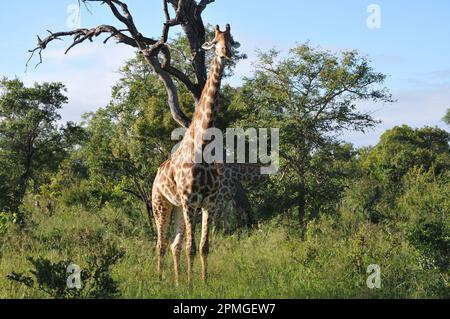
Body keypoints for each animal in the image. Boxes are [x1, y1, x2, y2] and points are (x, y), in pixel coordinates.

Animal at [151, 23, 241, 286]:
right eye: (214, 41)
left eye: (230, 40)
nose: (226, 54)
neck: (202, 145)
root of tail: (155, 176)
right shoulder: (191, 201)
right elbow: (192, 247)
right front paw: (192, 286)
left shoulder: (208, 203)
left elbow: (203, 247)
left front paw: (202, 282)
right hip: (161, 204)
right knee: (160, 244)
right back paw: (160, 280)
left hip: (179, 208)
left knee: (174, 245)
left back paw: (177, 281)